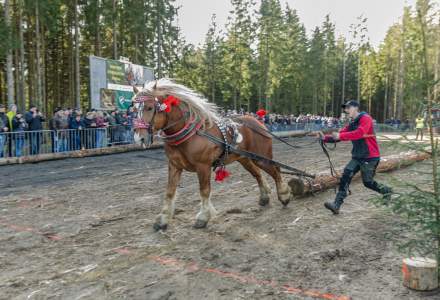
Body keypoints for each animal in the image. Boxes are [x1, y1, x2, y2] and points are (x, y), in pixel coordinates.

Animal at [132, 78, 294, 230]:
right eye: (133, 109)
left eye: (150, 107)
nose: (139, 138)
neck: (191, 134)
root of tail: (258, 122)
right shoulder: (174, 166)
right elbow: (170, 192)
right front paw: (162, 219)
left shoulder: (203, 166)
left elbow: (204, 190)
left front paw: (203, 217)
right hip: (245, 159)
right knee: (258, 174)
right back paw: (265, 197)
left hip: (262, 158)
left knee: (276, 171)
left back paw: (284, 195)